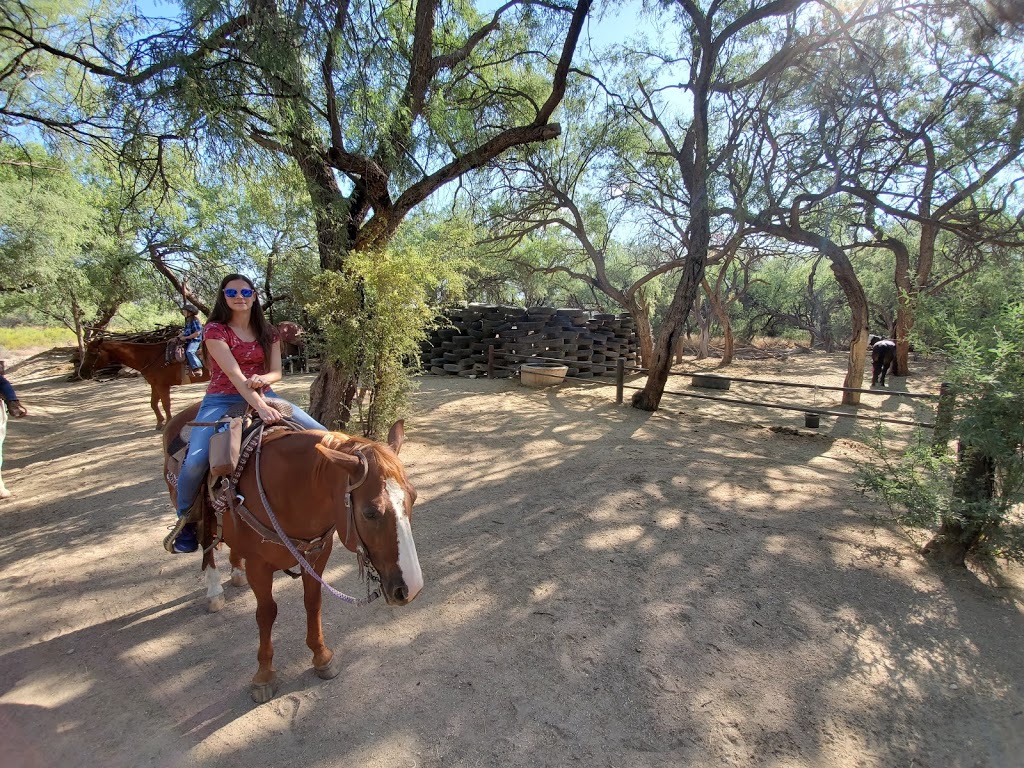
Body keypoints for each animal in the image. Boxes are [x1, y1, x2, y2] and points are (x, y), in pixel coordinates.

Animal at [79, 339, 209, 430]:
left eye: (92, 353)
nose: (82, 373)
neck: (150, 357)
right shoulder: (154, 385)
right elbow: (153, 404)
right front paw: (159, 423)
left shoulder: (162, 385)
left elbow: (166, 404)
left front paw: (167, 423)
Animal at [160, 405, 423, 708]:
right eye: (370, 512)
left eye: (413, 497)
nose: (412, 588)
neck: (288, 489)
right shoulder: (260, 567)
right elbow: (266, 613)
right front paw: (264, 675)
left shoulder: (318, 554)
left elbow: (313, 602)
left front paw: (322, 657)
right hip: (200, 514)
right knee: (208, 545)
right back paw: (214, 591)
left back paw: (236, 573)